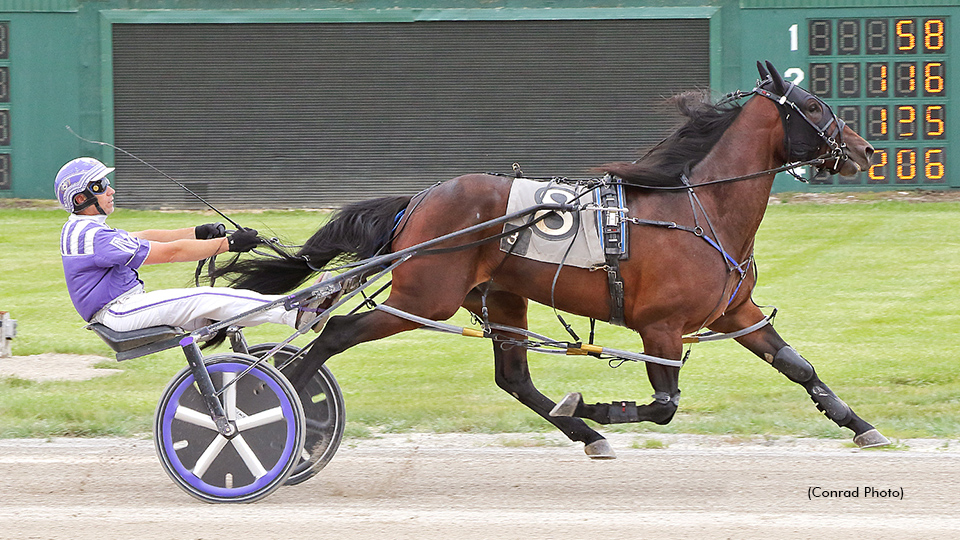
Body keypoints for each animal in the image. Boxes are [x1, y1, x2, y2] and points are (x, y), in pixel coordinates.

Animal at [214, 61, 887, 457]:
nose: (864, 150)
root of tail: (421, 200)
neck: (700, 209)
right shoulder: (661, 328)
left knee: (513, 377)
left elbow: (798, 367)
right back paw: (286, 411)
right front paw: (592, 405)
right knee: (334, 332)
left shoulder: (735, 312)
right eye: (817, 106)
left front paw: (860, 425)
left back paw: (585, 434)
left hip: (499, 297)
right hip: (423, 297)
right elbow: (663, 406)